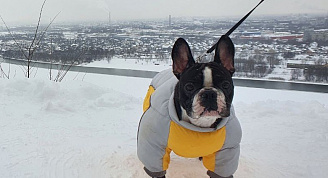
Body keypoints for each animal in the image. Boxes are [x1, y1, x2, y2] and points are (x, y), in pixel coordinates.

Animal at [137, 35, 242, 178]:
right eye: (189, 87)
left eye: (226, 85)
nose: (209, 94)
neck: (199, 126)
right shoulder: (153, 147)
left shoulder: (226, 154)